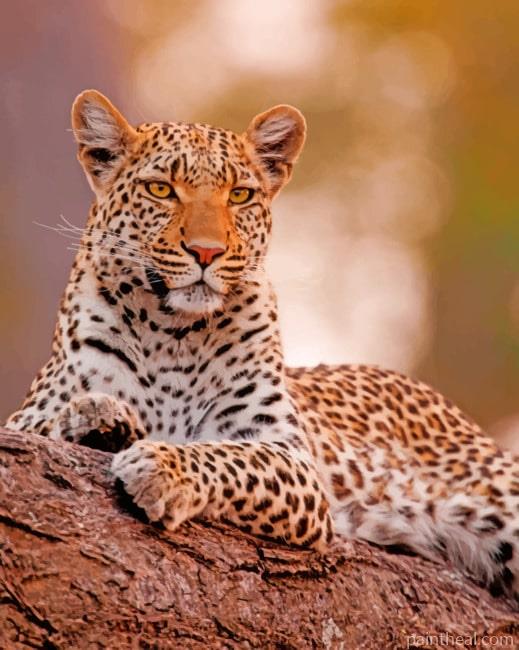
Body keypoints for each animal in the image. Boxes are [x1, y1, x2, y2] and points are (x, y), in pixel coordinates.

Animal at [5, 89, 519, 600]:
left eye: (240, 195)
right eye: (161, 190)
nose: (207, 252)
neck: (172, 333)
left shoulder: (291, 458)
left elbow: (229, 457)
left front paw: (162, 466)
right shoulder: (28, 413)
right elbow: (44, 421)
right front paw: (95, 417)